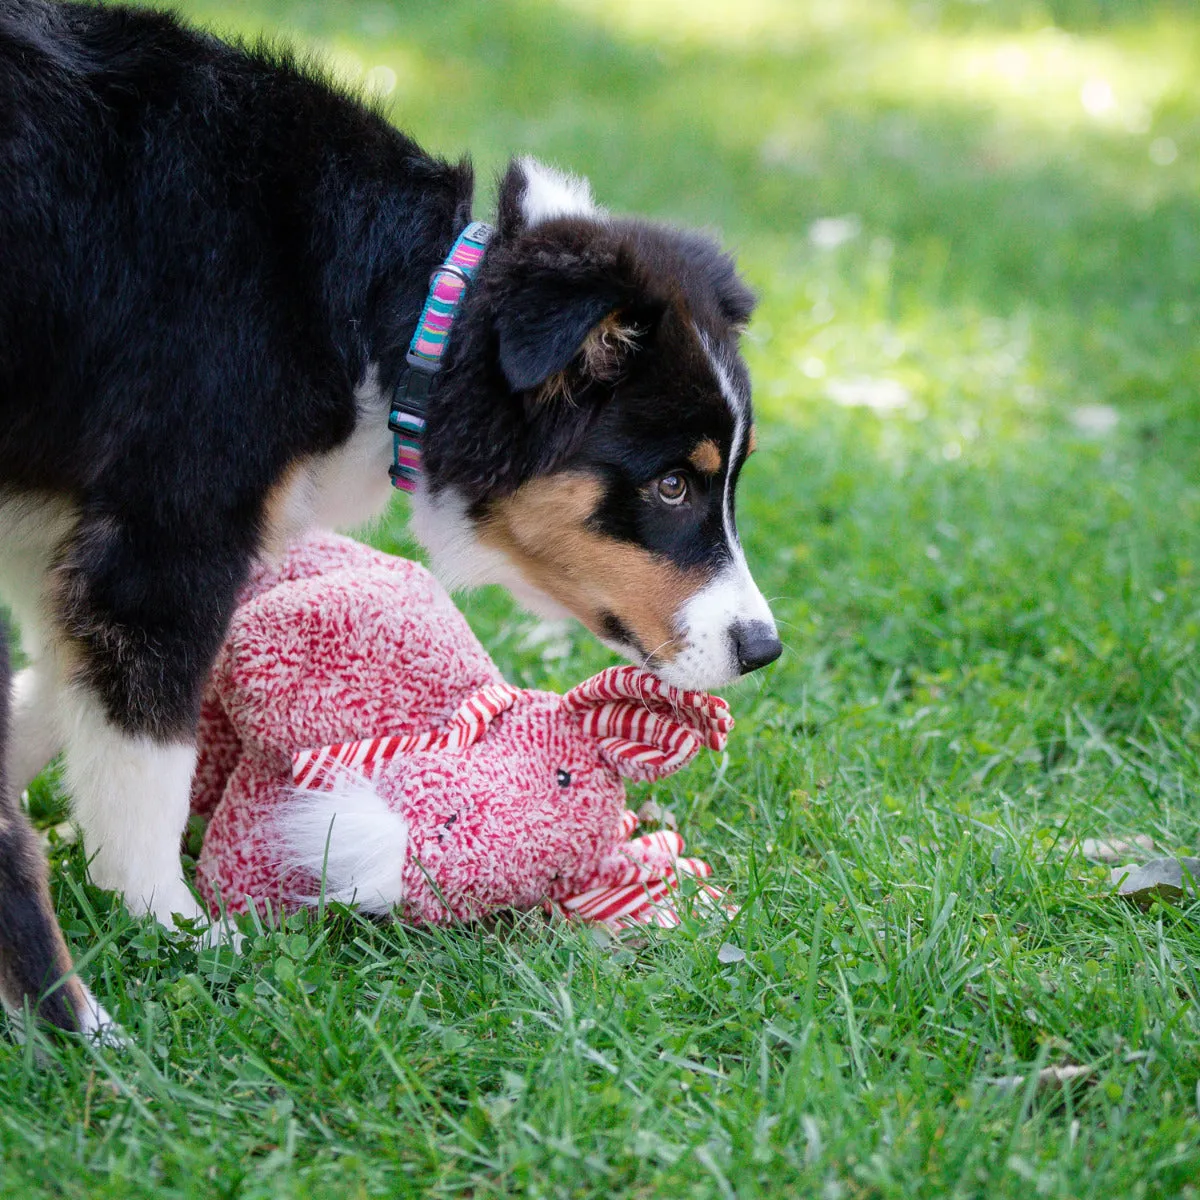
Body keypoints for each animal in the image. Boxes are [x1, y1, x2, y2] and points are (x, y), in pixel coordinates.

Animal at [0, 0, 782, 1032]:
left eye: (722, 481)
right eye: (671, 487)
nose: (764, 648)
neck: (398, 317)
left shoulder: (59, 534)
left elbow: (57, 697)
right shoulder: (167, 535)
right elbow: (147, 754)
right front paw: (174, 925)